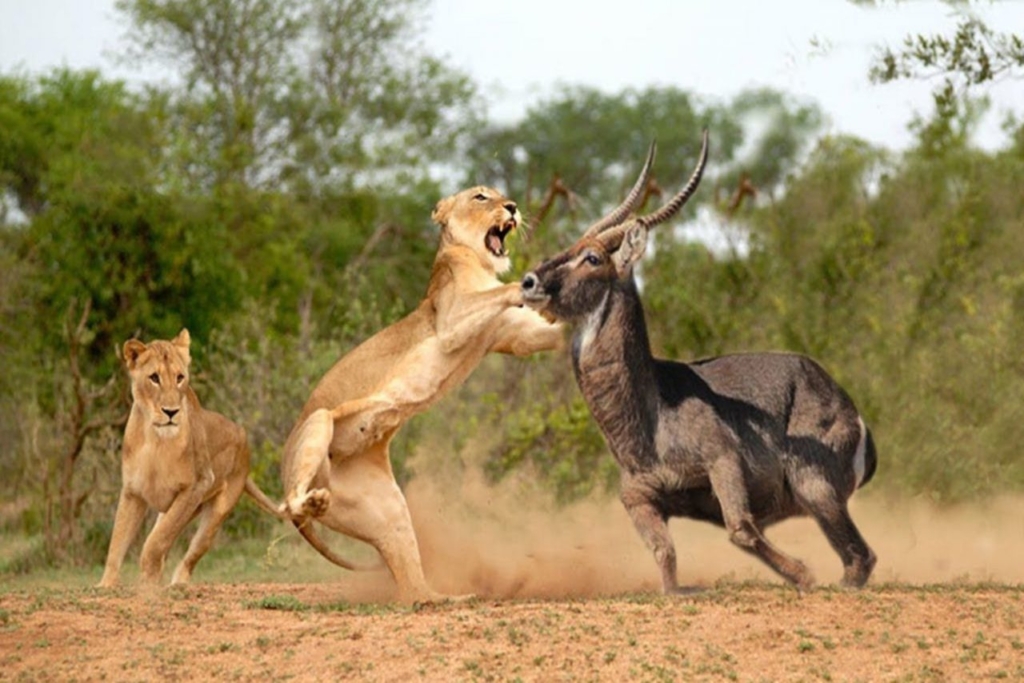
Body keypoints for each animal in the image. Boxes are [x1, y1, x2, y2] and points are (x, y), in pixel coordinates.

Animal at [97, 329, 281, 587]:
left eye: (180, 377)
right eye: (154, 378)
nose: (171, 412)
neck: (155, 440)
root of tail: (244, 441)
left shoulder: (196, 485)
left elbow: (155, 544)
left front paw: (147, 583)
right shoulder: (132, 492)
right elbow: (117, 542)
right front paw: (106, 585)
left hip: (214, 512)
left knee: (191, 554)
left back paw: (177, 584)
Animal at [281, 186, 564, 602]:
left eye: (501, 195)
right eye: (482, 196)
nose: (512, 206)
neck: (479, 261)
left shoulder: (518, 336)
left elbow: (548, 332)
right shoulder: (451, 318)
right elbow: (497, 294)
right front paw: (532, 283)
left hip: (389, 511)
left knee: (413, 588)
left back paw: (447, 599)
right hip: (316, 424)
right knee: (288, 504)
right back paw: (309, 501)